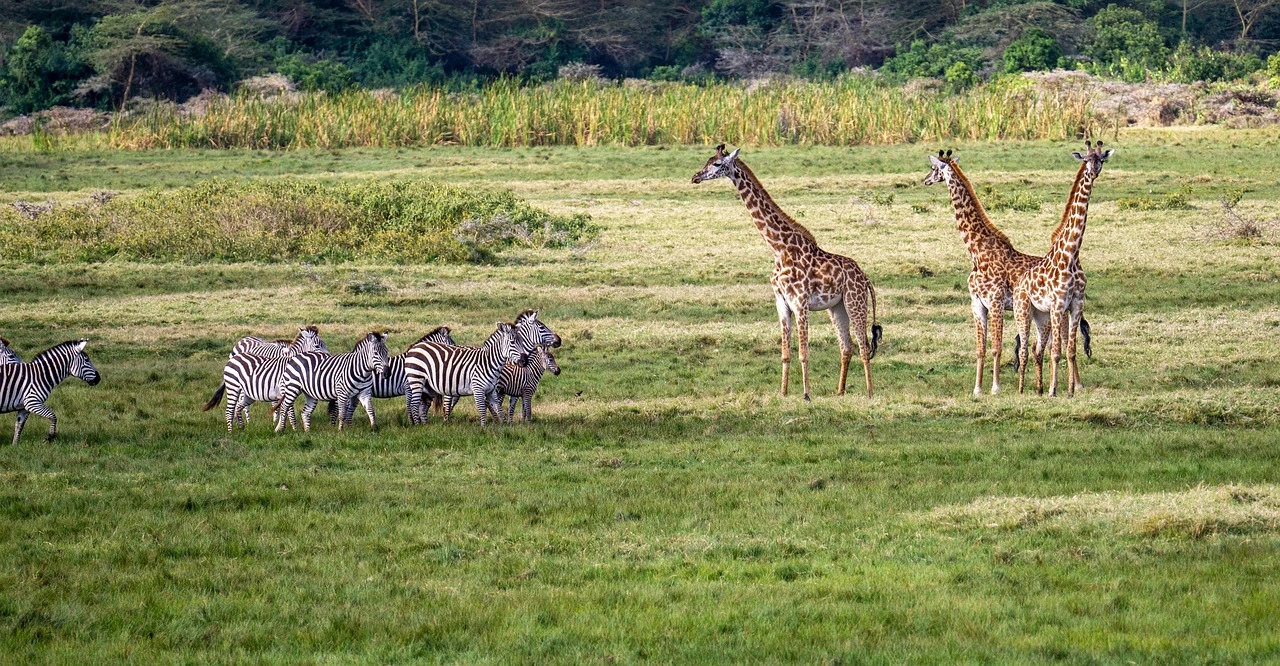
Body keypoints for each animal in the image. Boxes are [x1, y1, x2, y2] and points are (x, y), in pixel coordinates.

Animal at [692, 144, 883, 399]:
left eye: (717, 164)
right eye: (707, 160)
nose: (695, 177)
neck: (779, 248)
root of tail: (866, 278)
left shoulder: (800, 302)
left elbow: (803, 352)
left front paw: (807, 395)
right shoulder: (781, 302)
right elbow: (785, 353)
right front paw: (783, 393)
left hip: (855, 302)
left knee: (863, 346)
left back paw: (870, 393)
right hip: (837, 308)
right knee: (847, 346)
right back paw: (840, 392)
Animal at [1014, 141, 1112, 397]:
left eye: (1101, 159)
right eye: (1085, 159)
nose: (1094, 171)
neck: (1072, 254)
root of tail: (1019, 282)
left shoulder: (1076, 303)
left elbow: (1070, 350)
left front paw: (1070, 390)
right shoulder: (1058, 305)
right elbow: (1056, 351)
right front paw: (1053, 390)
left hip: (1041, 316)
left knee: (1037, 348)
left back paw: (1038, 388)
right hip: (1023, 310)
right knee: (1025, 348)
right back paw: (1022, 389)